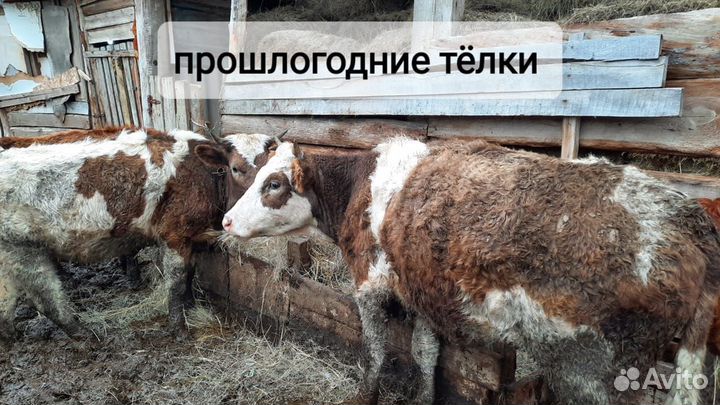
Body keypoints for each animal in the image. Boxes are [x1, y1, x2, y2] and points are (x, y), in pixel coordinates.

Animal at [0, 127, 278, 344]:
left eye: (273, 175)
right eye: (235, 168)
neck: (203, 176)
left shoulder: (192, 237)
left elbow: (190, 274)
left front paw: (191, 305)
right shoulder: (173, 235)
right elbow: (176, 282)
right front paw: (179, 329)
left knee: (6, 301)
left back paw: (10, 336)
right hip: (23, 248)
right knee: (47, 299)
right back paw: (86, 334)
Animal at [220, 138, 720, 405]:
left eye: (274, 184)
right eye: (257, 173)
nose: (225, 220)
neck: (363, 187)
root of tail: (687, 216)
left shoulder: (369, 286)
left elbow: (375, 353)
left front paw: (365, 394)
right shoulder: (419, 292)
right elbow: (424, 353)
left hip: (597, 367)